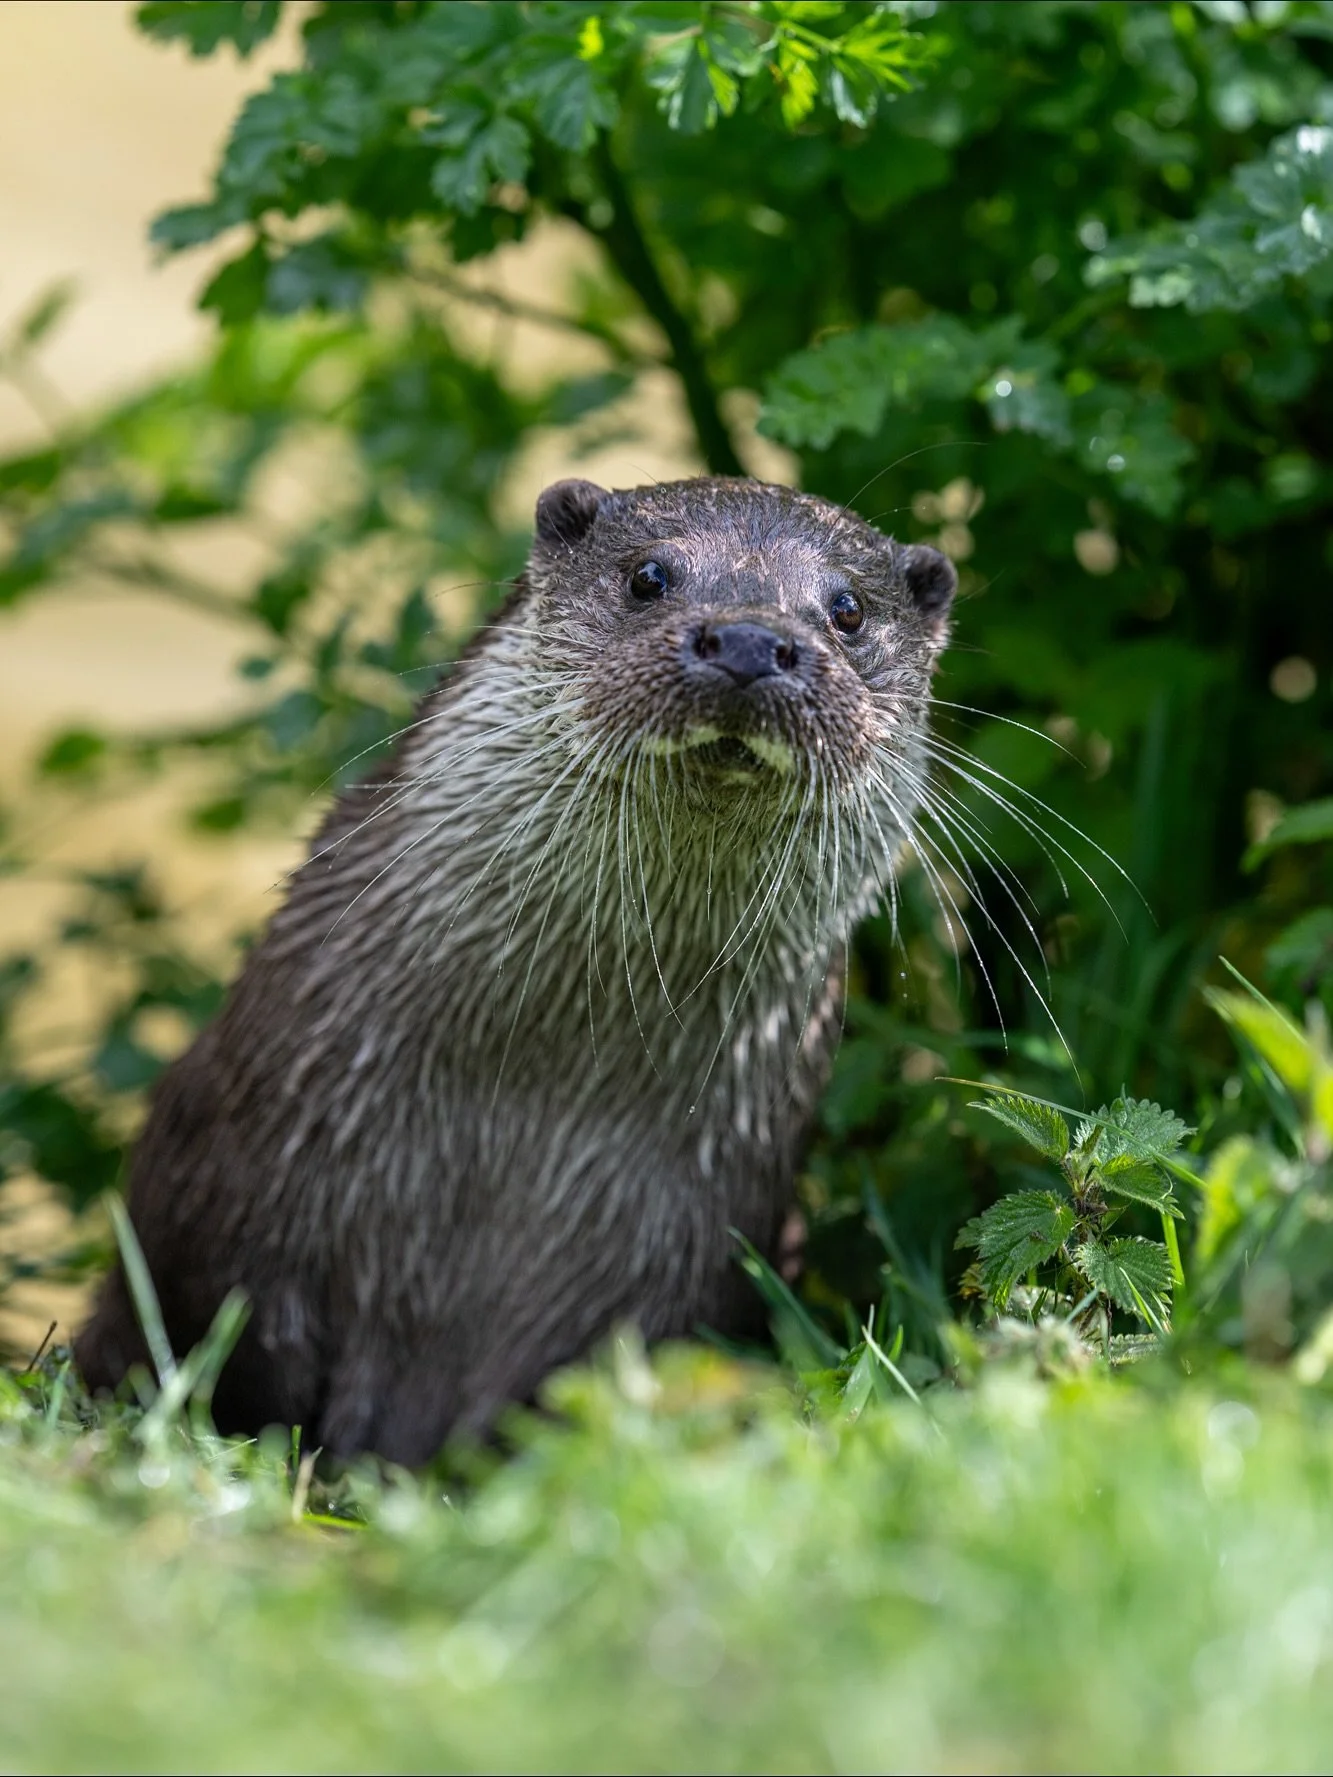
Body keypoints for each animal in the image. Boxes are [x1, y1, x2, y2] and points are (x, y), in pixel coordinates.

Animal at [75, 476, 956, 1464]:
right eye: (648, 576)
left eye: (846, 609)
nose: (747, 639)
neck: (523, 1113)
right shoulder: (232, 1183)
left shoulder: (687, 1249)